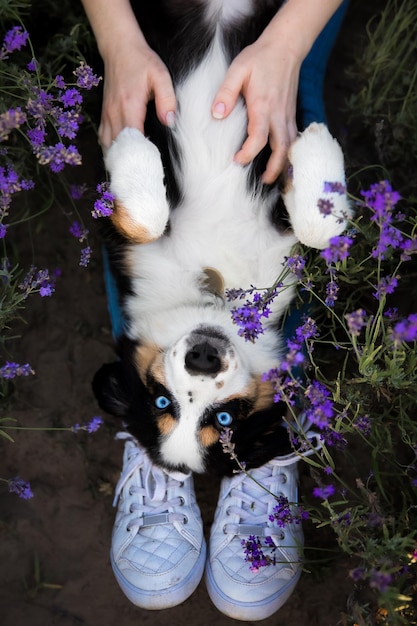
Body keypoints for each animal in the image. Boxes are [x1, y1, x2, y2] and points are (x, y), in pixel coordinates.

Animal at [92, 0, 350, 476]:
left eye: (225, 418)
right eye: (163, 402)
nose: (203, 358)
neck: (212, 297)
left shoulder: (282, 241)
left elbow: (321, 229)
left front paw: (315, 148)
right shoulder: (129, 246)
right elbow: (148, 220)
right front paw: (132, 141)